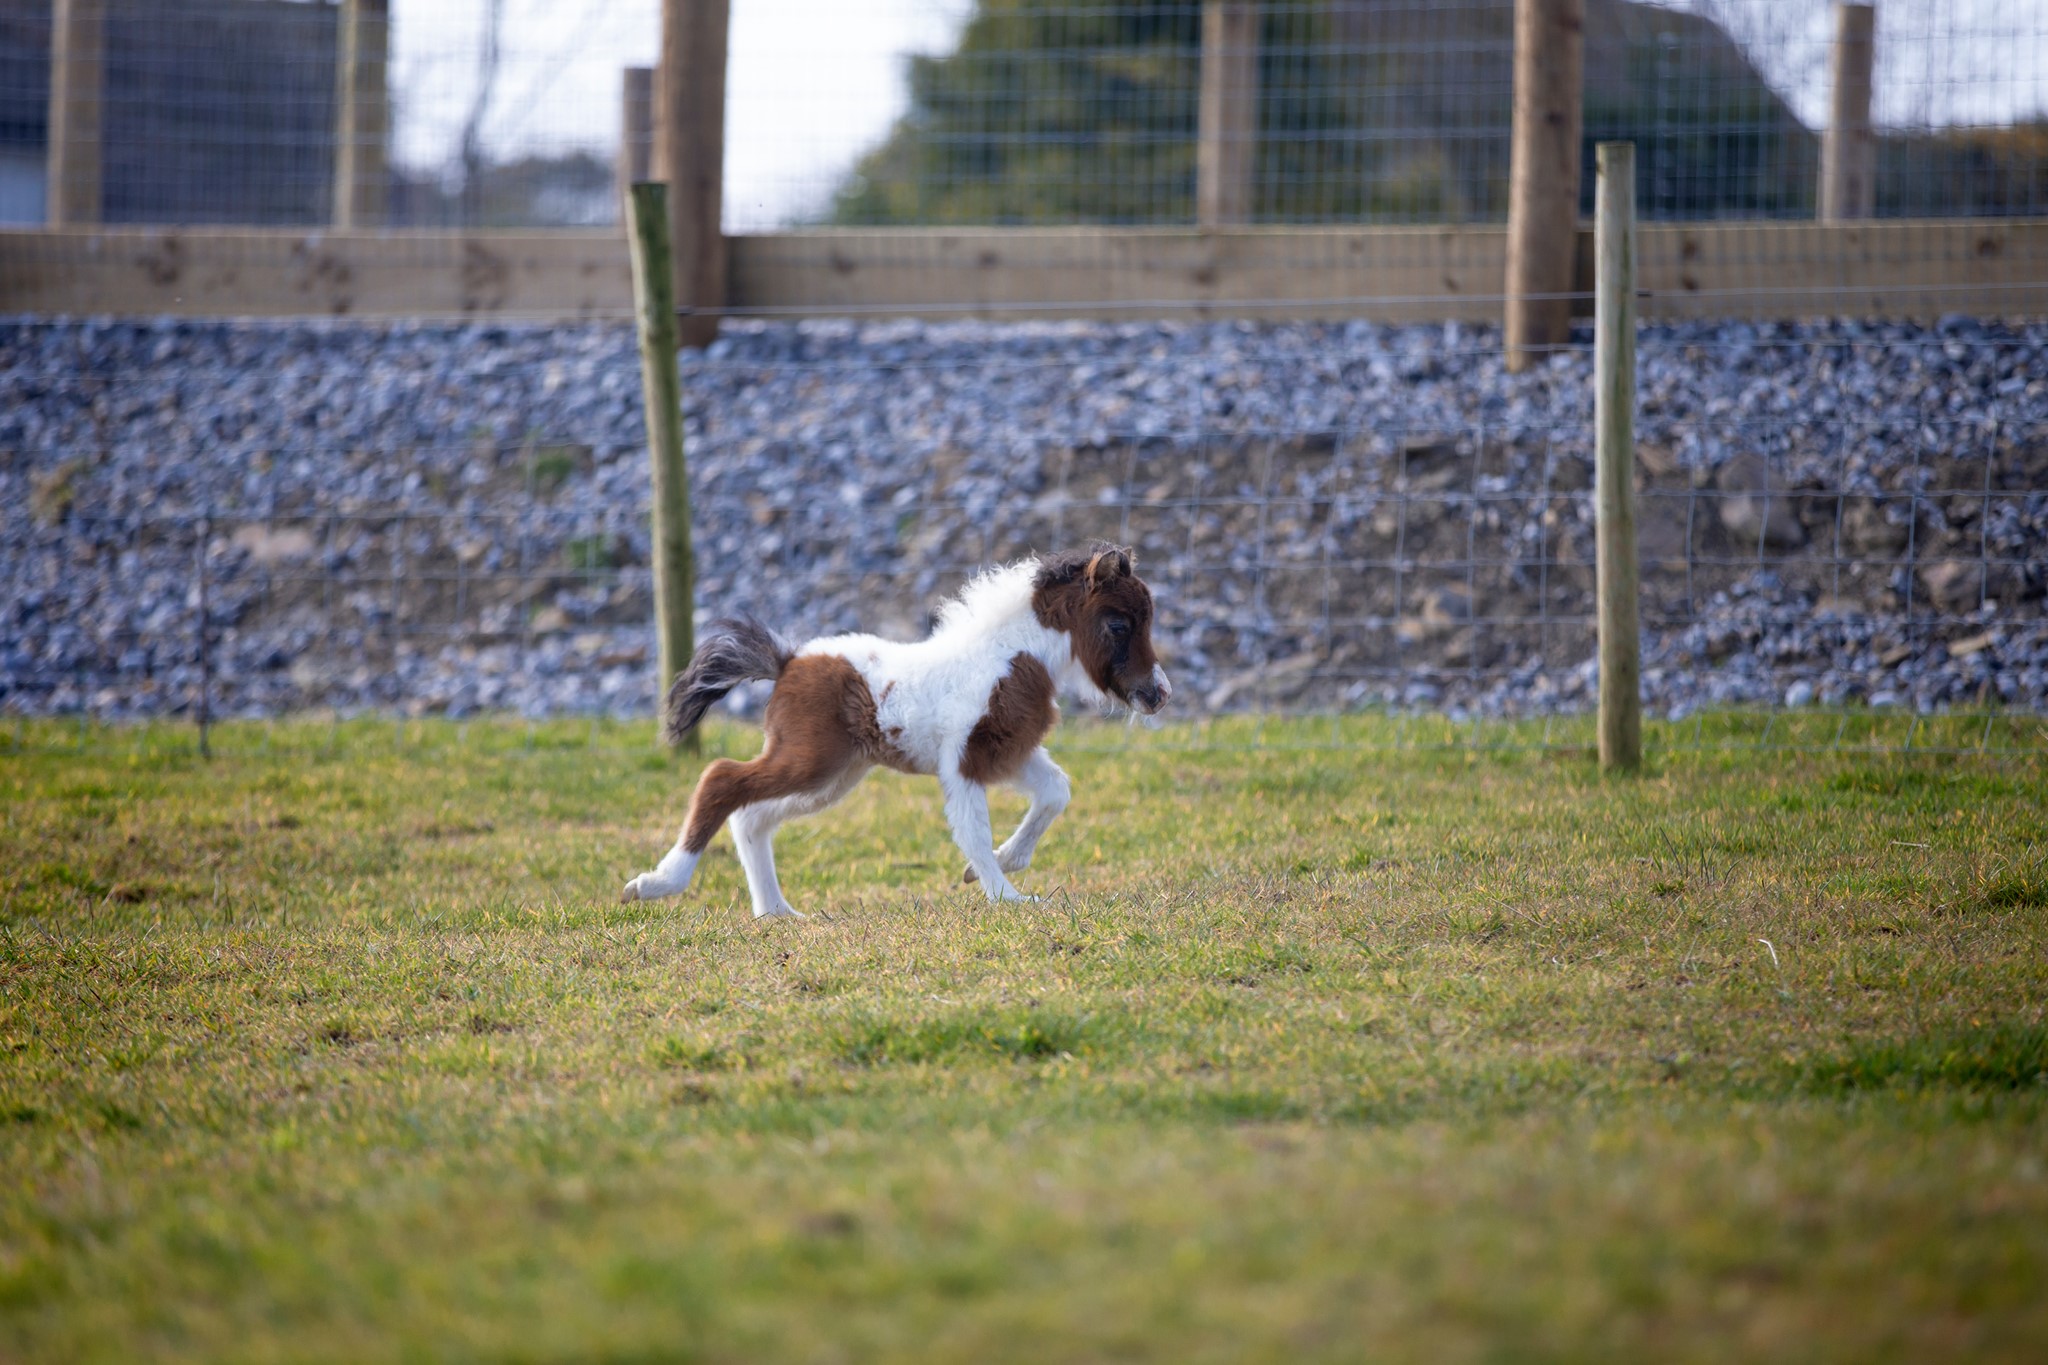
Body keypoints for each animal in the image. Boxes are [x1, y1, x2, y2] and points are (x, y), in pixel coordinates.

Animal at [620, 545, 1171, 918]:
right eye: (1120, 625)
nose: (1158, 693)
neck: (1007, 658)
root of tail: (788, 660)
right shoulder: (964, 760)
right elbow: (972, 830)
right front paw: (1008, 897)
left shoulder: (1011, 753)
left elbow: (1056, 792)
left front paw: (1002, 866)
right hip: (810, 760)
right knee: (721, 779)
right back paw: (655, 885)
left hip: (833, 777)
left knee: (752, 816)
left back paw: (776, 913)